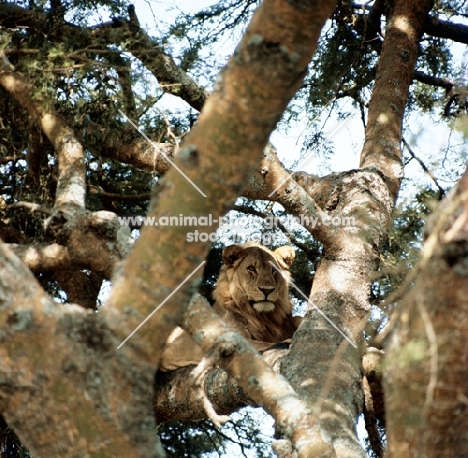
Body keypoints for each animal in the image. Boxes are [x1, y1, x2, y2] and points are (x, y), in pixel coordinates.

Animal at [159, 243, 302, 372]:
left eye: (274, 270)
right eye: (251, 268)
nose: (267, 290)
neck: (262, 316)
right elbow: (261, 345)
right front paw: (287, 341)